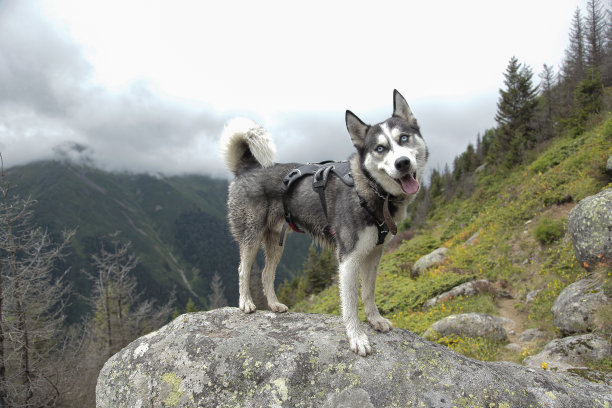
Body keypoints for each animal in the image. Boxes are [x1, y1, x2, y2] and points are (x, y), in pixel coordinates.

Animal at [219, 91, 426, 356]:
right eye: (380, 148)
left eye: (404, 138)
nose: (402, 163)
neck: (371, 190)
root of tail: (248, 166)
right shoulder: (348, 259)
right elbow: (350, 304)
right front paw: (357, 337)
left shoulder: (373, 254)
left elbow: (368, 293)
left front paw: (375, 319)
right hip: (251, 236)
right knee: (243, 269)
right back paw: (246, 302)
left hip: (276, 243)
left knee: (266, 273)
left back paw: (274, 305)